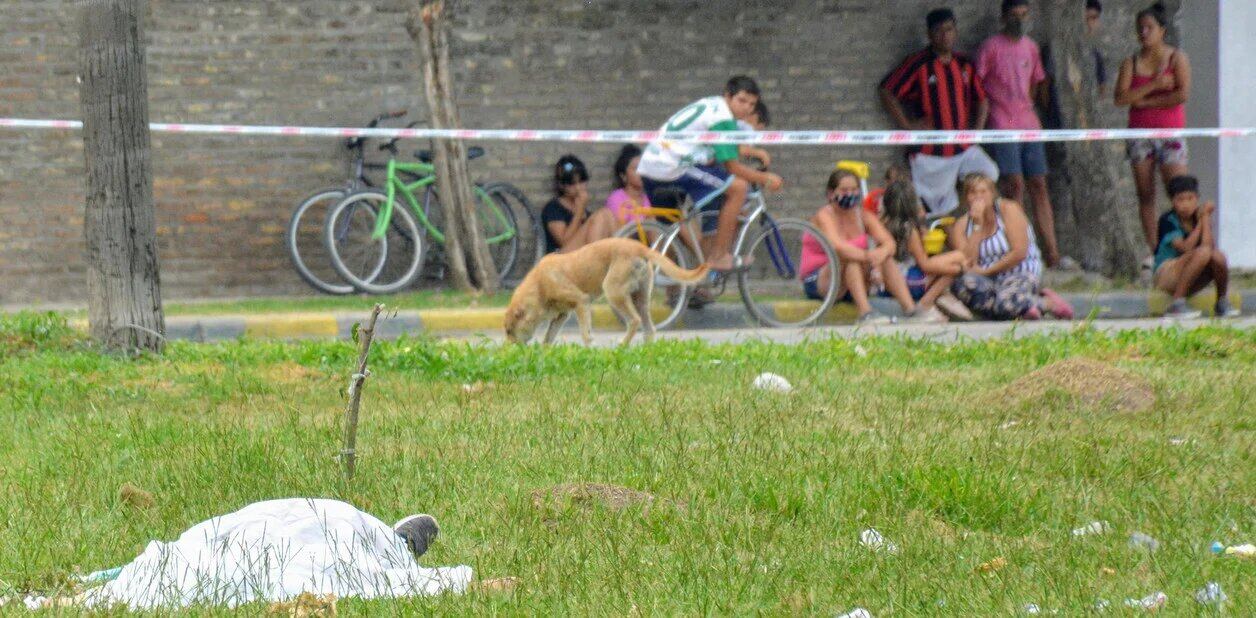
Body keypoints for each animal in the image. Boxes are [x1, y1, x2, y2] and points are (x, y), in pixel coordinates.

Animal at [504, 237, 713, 344]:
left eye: (509, 330)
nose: (508, 350)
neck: (539, 284)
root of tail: (639, 248)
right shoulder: (561, 315)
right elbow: (548, 338)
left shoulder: (581, 302)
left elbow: (586, 335)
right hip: (640, 297)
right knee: (649, 329)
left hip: (614, 292)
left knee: (634, 321)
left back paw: (622, 347)